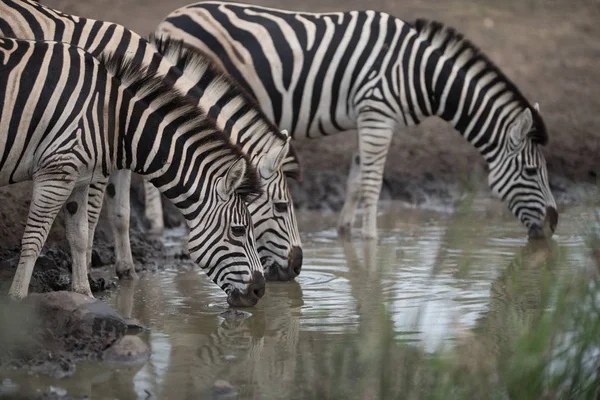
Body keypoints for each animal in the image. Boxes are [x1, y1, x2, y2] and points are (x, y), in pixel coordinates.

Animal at [0, 0, 304, 282]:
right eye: (281, 206)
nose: (297, 267)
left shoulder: (123, 149)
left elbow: (121, 212)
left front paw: (127, 271)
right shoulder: (96, 151)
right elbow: (93, 214)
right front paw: (86, 272)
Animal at [157, 3, 560, 239]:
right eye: (530, 171)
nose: (554, 225)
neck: (421, 73)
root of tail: (172, 17)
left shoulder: (365, 117)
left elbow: (354, 181)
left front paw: (345, 232)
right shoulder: (378, 115)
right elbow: (372, 185)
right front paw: (371, 243)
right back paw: (156, 223)